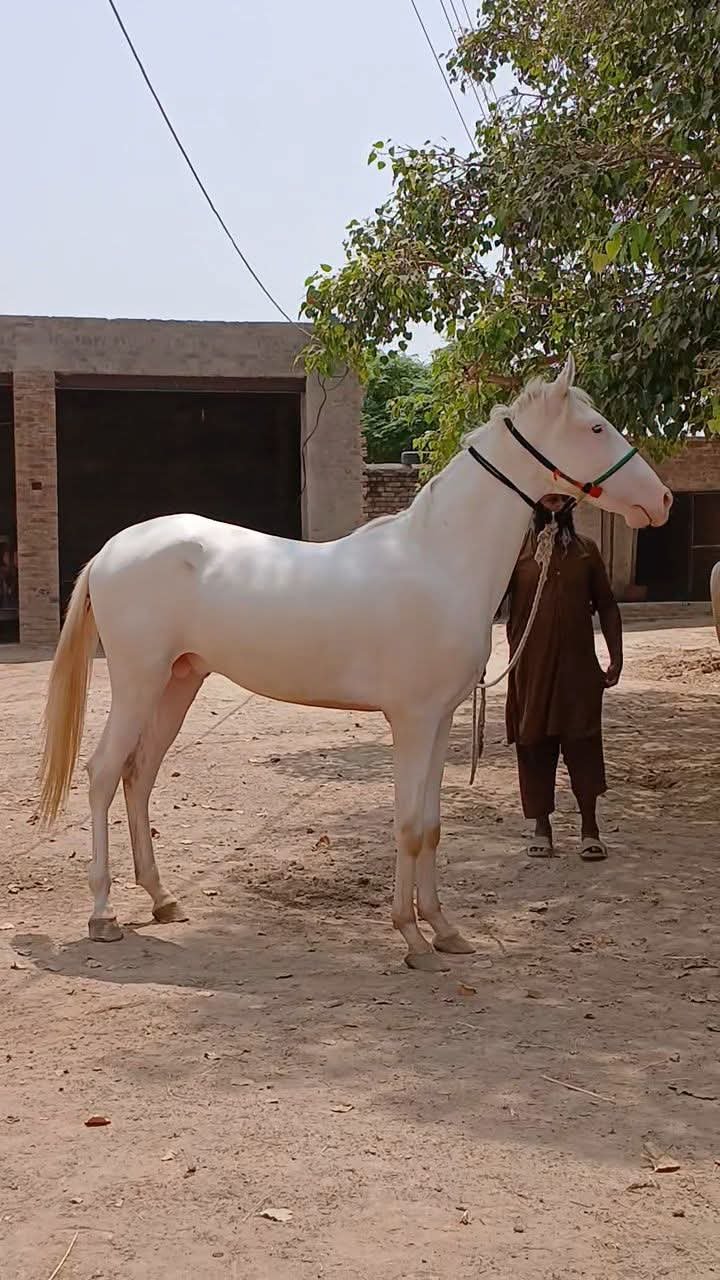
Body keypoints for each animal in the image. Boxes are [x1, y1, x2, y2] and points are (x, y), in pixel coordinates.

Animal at [39, 355, 672, 971]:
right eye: (596, 428)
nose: (661, 499)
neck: (439, 559)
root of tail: (113, 550)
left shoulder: (441, 720)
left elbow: (432, 826)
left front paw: (445, 931)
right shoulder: (412, 722)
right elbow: (409, 827)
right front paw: (413, 941)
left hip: (179, 681)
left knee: (139, 773)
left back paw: (162, 899)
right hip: (138, 682)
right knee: (102, 773)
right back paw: (103, 916)